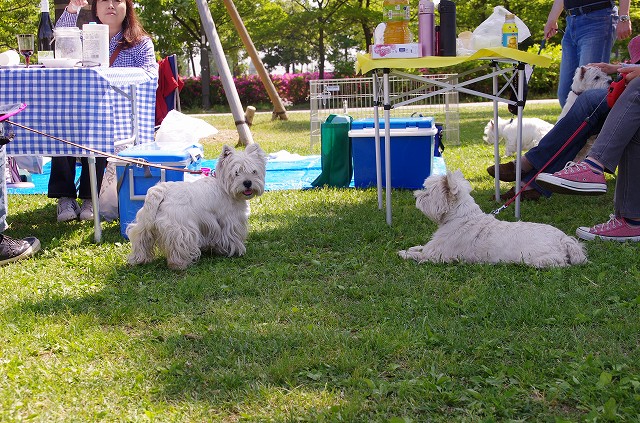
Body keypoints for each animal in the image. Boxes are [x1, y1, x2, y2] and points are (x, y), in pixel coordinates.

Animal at [127, 144, 268, 270]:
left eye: (254, 171)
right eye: (236, 173)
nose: (247, 183)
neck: (225, 188)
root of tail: (162, 191)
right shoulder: (230, 221)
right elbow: (231, 236)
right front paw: (235, 251)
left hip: (145, 224)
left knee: (140, 239)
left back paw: (139, 259)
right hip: (180, 228)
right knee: (178, 245)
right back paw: (179, 264)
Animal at [398, 171, 588, 268]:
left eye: (427, 193)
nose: (416, 196)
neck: (461, 217)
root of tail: (564, 239)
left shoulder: (440, 254)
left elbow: (420, 254)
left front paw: (405, 253)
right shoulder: (434, 246)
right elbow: (421, 247)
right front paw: (411, 248)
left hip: (540, 257)